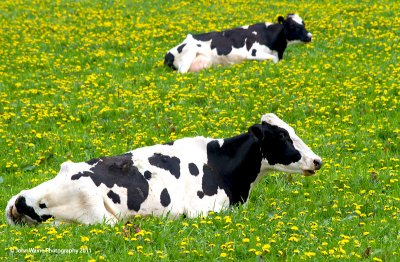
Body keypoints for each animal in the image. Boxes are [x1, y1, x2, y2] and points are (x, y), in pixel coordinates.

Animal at [165, 13, 312, 73]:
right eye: (293, 26)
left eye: (303, 23)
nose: (309, 36)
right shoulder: (254, 53)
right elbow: (273, 59)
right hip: (188, 54)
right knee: (182, 73)